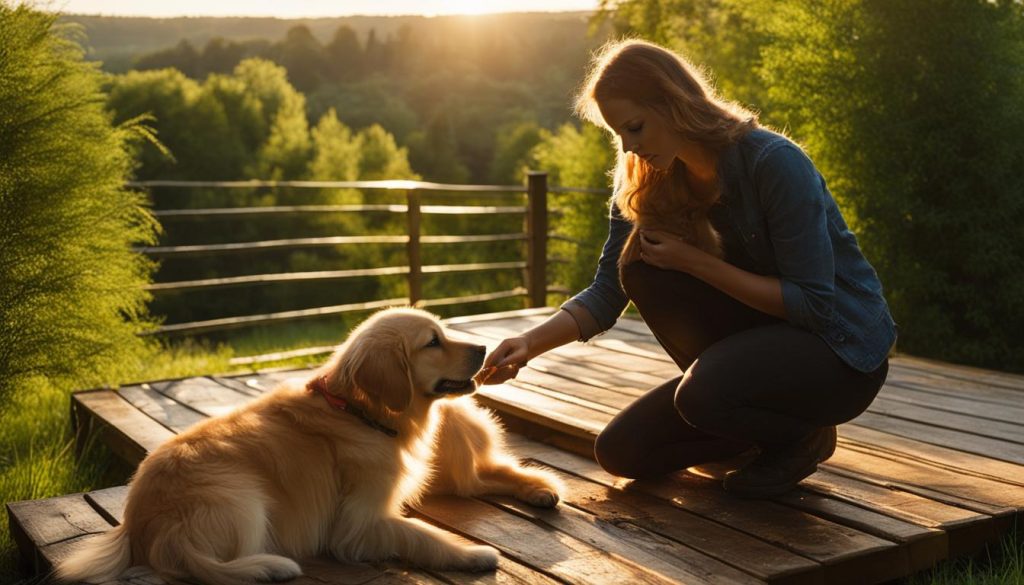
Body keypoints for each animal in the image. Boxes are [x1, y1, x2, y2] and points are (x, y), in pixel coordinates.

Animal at [58, 309, 561, 581]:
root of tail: (137, 526)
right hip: (241, 494)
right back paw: (271, 565)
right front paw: (473, 554)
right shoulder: (358, 524)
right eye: (432, 341)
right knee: (204, 567)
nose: (484, 349)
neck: (358, 411)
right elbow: (423, 534)